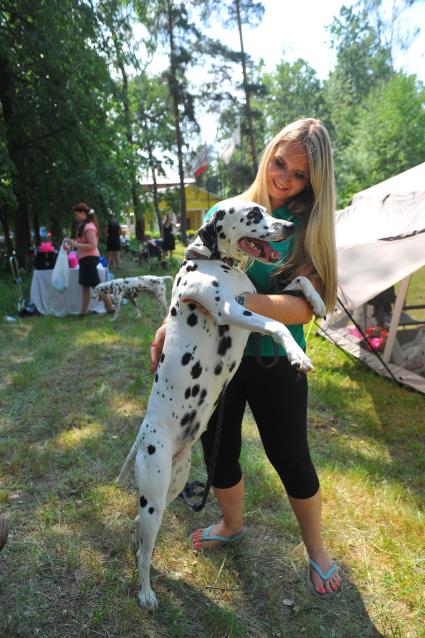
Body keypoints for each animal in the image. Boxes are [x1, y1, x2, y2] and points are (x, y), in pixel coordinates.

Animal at [117, 199, 326, 608]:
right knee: (145, 551)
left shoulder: (254, 295)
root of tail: (143, 435)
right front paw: (296, 355)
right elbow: (277, 326)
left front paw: (320, 301)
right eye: (253, 215)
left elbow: (298, 282)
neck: (215, 263)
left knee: (138, 535)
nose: (289, 226)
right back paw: (146, 592)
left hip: (171, 487)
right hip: (154, 498)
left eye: (266, 211)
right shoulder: (230, 308)